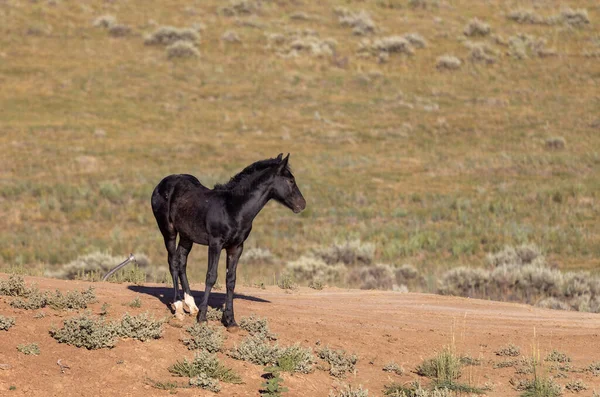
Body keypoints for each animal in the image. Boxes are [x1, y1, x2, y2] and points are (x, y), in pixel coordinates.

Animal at [149, 153, 308, 330]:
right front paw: (202, 318)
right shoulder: (215, 244)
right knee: (173, 262)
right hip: (168, 231)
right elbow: (211, 276)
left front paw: (230, 321)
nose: (302, 205)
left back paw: (191, 305)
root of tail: (162, 183)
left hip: (186, 236)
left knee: (181, 261)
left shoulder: (236, 247)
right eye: (291, 181)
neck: (233, 208)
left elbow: (231, 280)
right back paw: (178, 308)